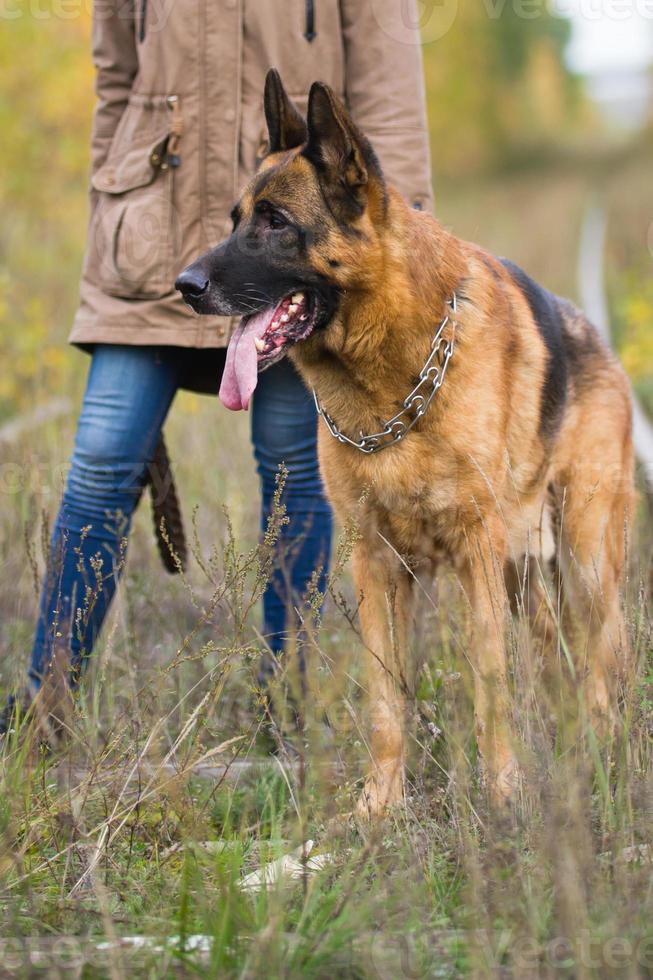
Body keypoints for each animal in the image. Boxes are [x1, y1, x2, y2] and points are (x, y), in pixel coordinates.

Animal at [176, 71, 636, 820]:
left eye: (275, 222)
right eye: (235, 218)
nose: (183, 286)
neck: (393, 384)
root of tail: (598, 340)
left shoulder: (475, 557)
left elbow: (489, 684)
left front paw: (501, 795)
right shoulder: (376, 565)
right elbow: (386, 698)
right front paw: (379, 806)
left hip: (584, 561)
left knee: (596, 660)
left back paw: (599, 757)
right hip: (524, 576)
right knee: (554, 660)